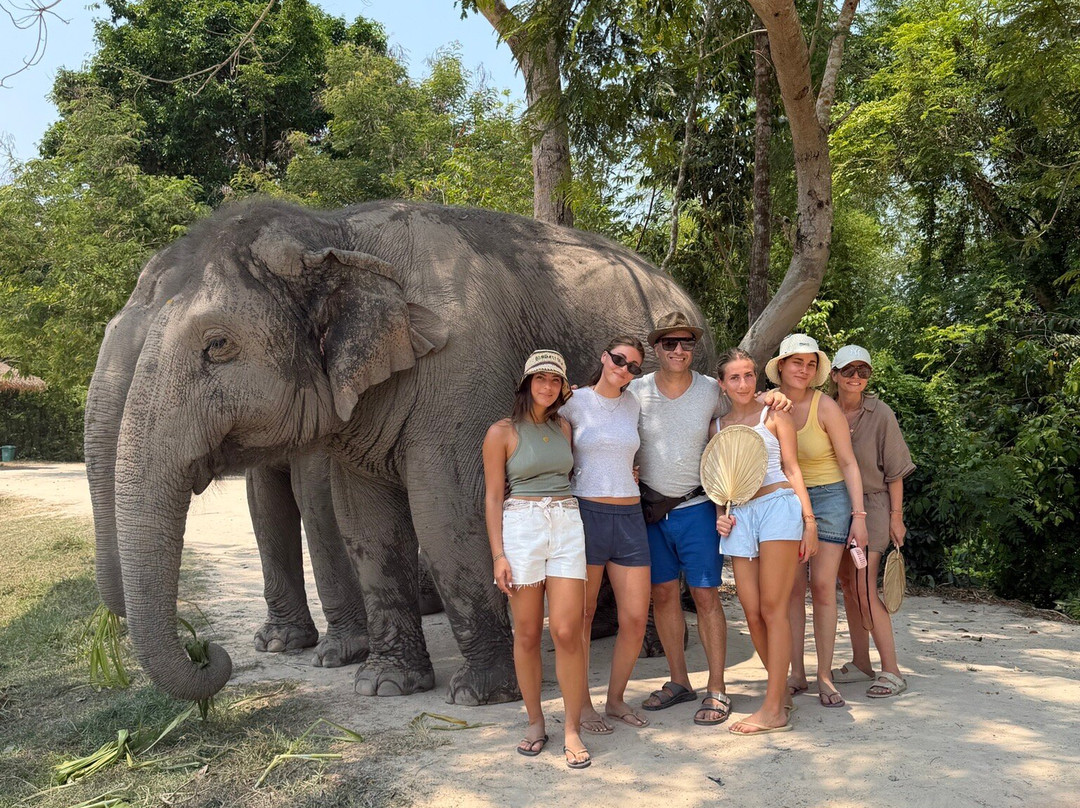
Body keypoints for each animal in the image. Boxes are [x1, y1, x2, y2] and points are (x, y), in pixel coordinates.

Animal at [96, 198, 713, 705]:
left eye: (217, 345)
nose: (209, 653)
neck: (337, 230)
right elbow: (362, 518)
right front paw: (384, 683)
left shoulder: (461, 371)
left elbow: (447, 507)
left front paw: (479, 695)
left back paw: (646, 645)